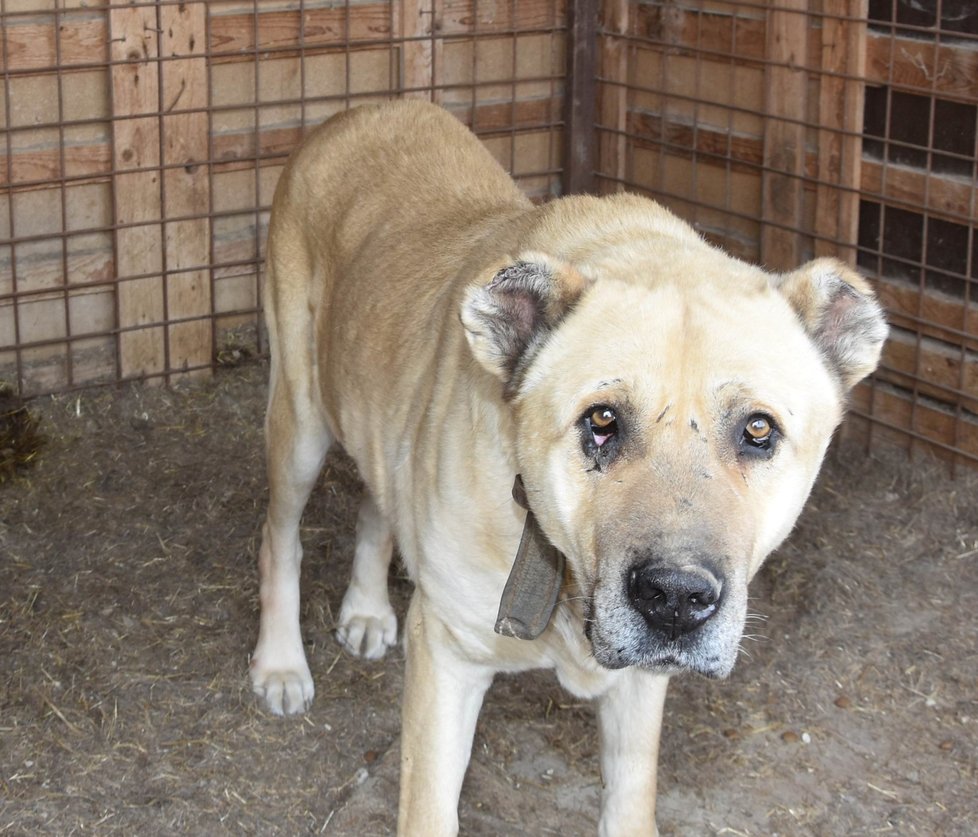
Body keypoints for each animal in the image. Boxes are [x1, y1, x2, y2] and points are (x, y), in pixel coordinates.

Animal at [248, 101, 888, 832]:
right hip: (300, 419)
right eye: (601, 421)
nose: (676, 600)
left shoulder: (638, 690)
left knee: (377, 498)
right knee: (278, 537)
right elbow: (431, 808)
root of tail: (361, 110)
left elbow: (630, 806)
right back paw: (279, 664)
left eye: (759, 430)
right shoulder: (446, 656)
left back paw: (365, 608)